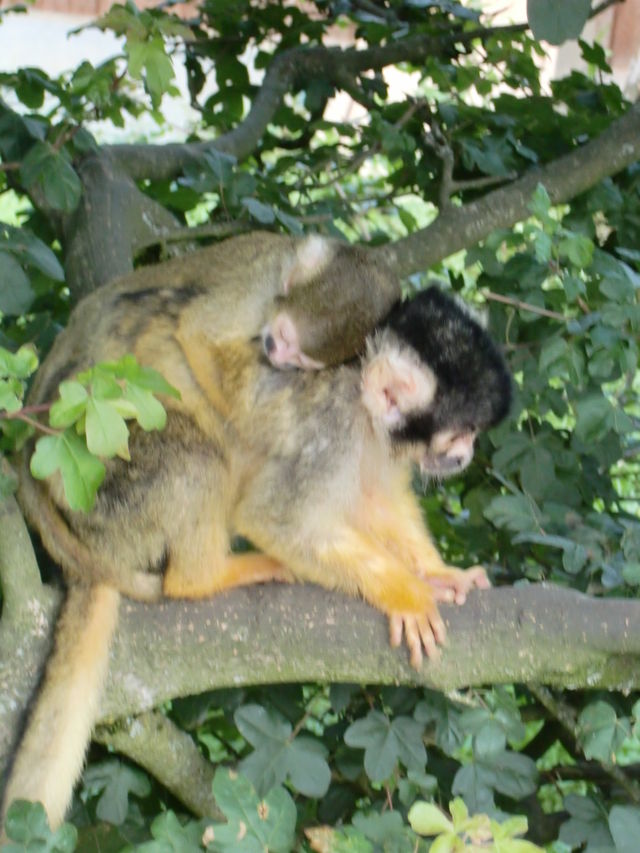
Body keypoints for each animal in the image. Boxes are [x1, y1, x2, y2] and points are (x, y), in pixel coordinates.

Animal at [1, 231, 510, 824]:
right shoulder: (333, 420)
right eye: (462, 433)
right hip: (99, 482)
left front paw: (438, 573)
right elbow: (275, 516)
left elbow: (376, 500)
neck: (359, 388)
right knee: (197, 459)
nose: (465, 455)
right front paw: (405, 592)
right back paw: (204, 576)